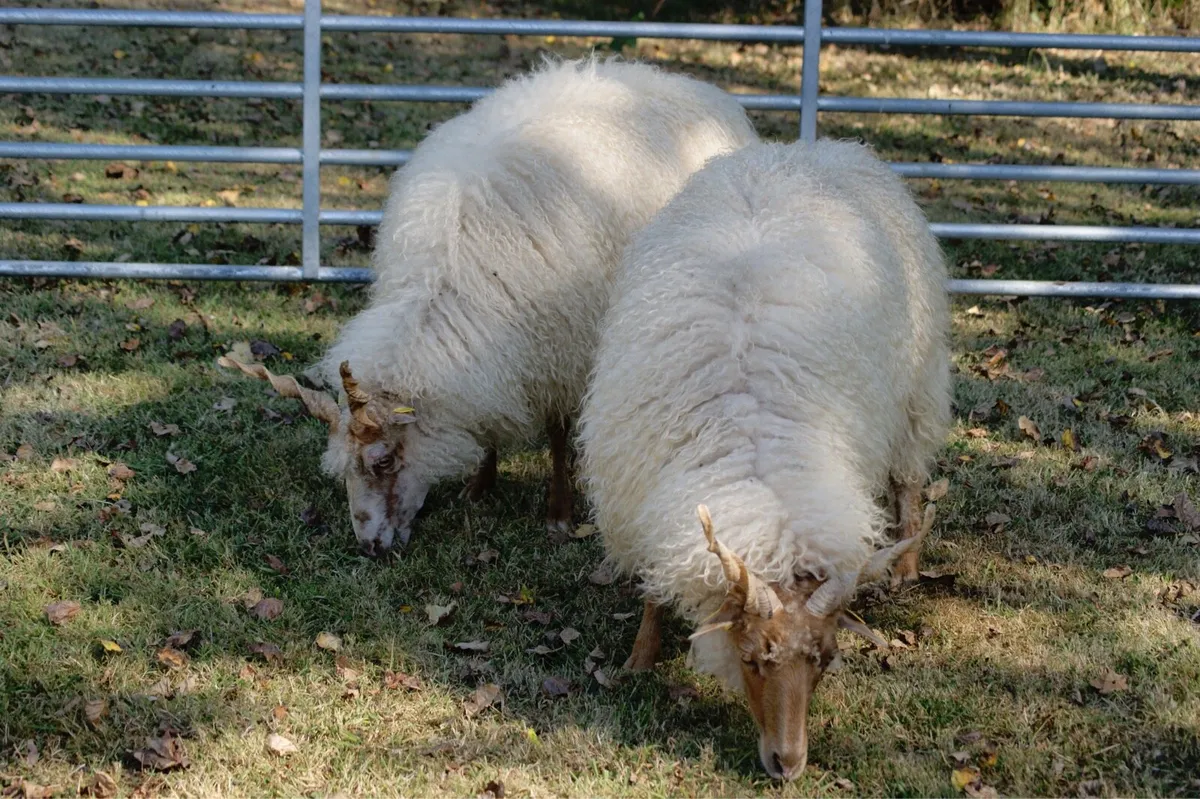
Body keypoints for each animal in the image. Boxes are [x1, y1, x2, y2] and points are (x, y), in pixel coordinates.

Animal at [221, 56, 758, 556]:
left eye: (383, 461)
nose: (369, 548)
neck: (445, 285)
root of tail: (680, 81)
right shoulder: (492, 355)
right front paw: (480, 486)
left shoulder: (561, 344)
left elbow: (558, 429)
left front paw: (559, 513)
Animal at [577, 138, 951, 780]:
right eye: (752, 658)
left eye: (824, 660)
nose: (788, 765)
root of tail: (811, 147)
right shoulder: (648, 494)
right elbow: (653, 588)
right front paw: (639, 660)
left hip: (916, 385)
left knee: (908, 478)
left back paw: (904, 564)